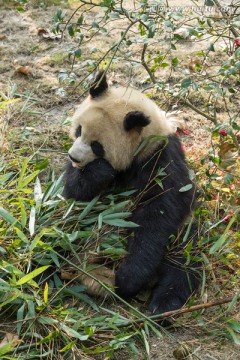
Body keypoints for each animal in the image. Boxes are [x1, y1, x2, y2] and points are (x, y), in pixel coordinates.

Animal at [64, 71, 201, 314]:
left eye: (97, 146)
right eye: (79, 130)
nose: (74, 157)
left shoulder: (160, 160)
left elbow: (157, 215)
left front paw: (129, 279)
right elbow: (74, 192)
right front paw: (98, 172)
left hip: (183, 232)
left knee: (183, 262)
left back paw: (163, 303)